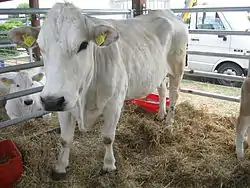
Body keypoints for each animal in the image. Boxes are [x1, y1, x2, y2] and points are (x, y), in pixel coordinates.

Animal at [7, 2, 188, 180]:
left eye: (83, 45)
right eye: (40, 46)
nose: (51, 101)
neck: (84, 96)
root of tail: (167, 13)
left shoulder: (114, 104)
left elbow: (108, 138)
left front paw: (109, 165)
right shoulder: (64, 106)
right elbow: (65, 140)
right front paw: (60, 167)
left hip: (177, 68)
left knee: (174, 96)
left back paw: (169, 124)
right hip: (160, 72)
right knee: (162, 90)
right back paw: (160, 114)